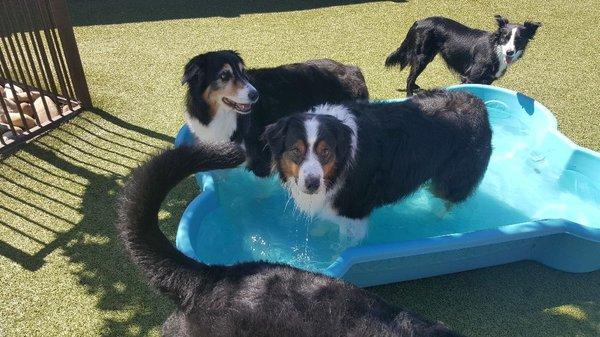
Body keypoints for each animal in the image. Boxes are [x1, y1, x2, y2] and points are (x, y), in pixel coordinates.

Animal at [386, 15, 540, 94]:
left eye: (519, 39)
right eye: (505, 38)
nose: (510, 52)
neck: (495, 49)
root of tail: (418, 22)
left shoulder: (488, 80)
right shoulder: (470, 77)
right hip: (422, 57)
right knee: (409, 78)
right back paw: (410, 94)